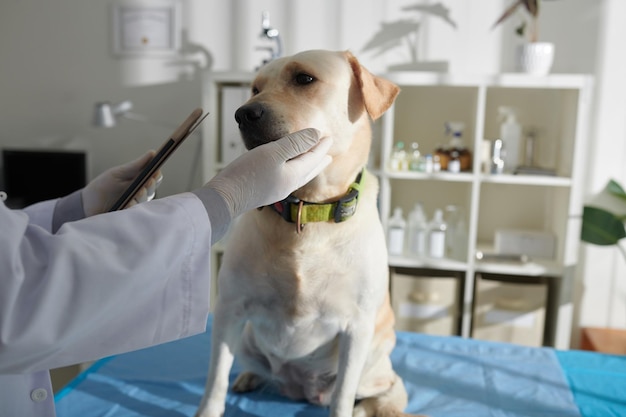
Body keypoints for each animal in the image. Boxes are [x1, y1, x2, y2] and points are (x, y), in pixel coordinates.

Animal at [193, 49, 422, 416]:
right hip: (247, 341)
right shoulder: (229, 309)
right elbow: (215, 380)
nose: (243, 114)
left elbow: (343, 395)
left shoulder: (357, 329)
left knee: (387, 389)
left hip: (374, 362)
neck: (308, 211)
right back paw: (249, 377)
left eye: (304, 78)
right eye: (254, 88)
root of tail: (299, 389)